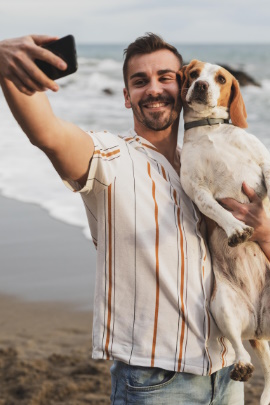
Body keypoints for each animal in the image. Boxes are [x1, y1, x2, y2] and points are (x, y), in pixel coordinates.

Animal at [179, 60, 270, 404]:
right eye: (193, 74)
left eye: (220, 78)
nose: (201, 86)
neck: (210, 131)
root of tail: (258, 325)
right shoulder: (196, 188)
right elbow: (218, 210)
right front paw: (235, 228)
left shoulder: (265, 161)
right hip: (222, 307)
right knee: (239, 348)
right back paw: (243, 366)